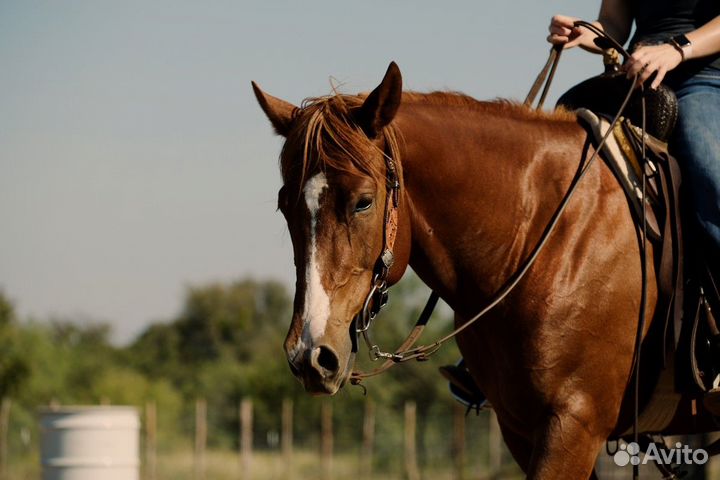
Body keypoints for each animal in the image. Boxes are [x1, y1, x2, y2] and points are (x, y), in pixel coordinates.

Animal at [252, 62, 716, 478]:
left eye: (363, 201)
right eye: (284, 205)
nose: (309, 355)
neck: (542, 239)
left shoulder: (574, 423)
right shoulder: (520, 428)